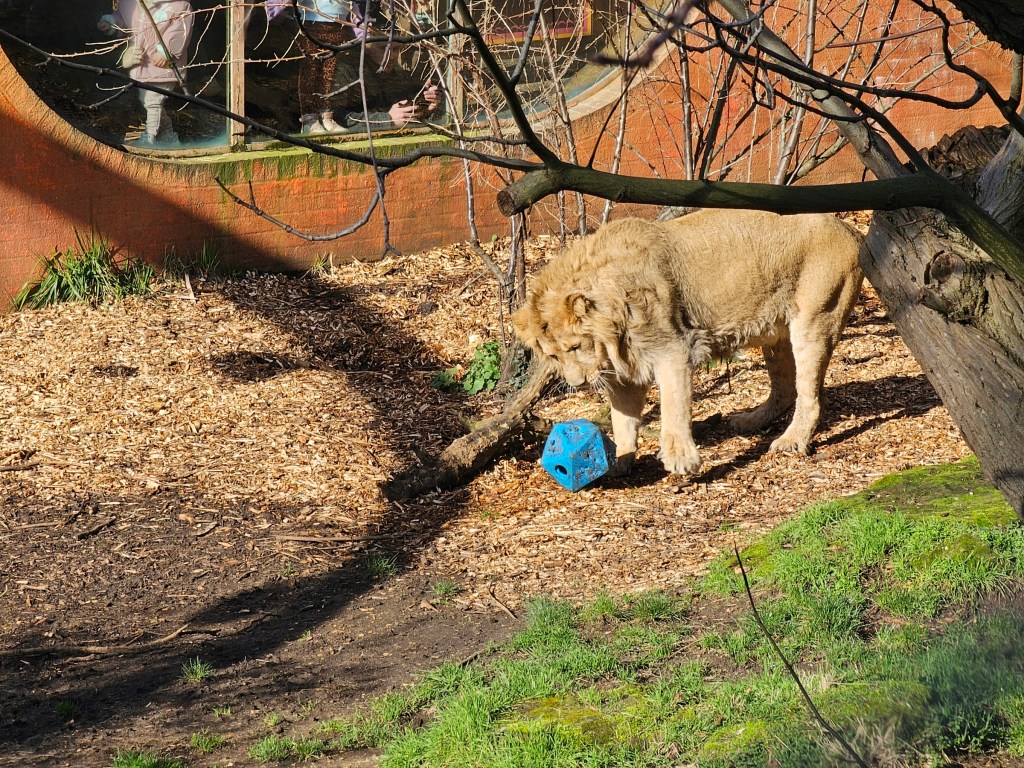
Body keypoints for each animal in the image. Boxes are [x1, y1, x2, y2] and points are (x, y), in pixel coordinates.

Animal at [511, 209, 865, 477]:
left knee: (810, 396)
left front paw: (681, 459)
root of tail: (850, 229)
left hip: (815, 319)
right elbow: (622, 419)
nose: (577, 383)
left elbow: (674, 407)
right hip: (775, 332)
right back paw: (749, 421)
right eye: (553, 357)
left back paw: (791, 441)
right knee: (785, 388)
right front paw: (619, 461)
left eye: (574, 347)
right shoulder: (625, 373)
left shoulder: (673, 350)